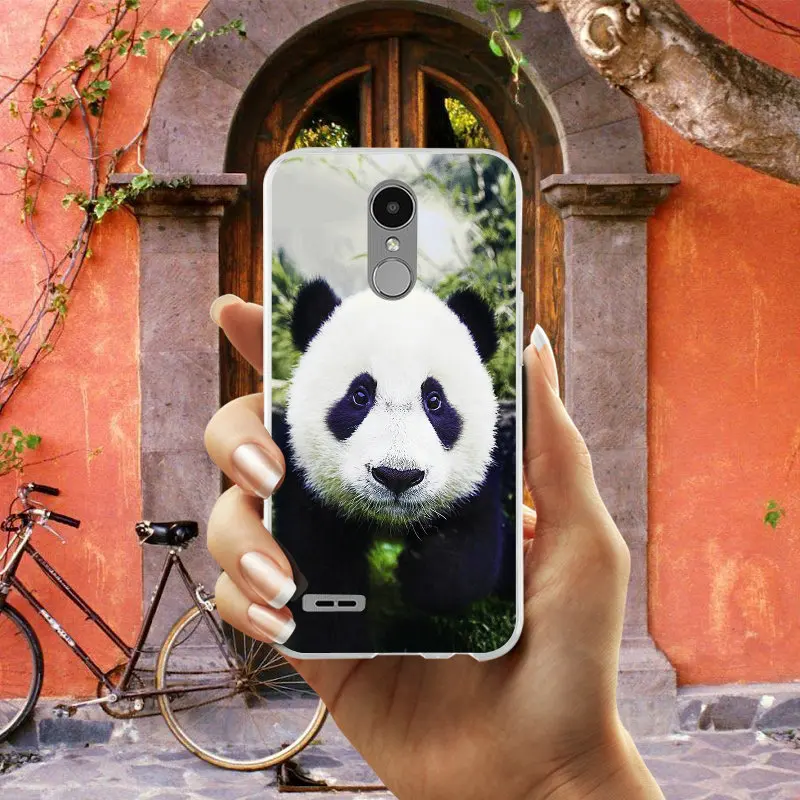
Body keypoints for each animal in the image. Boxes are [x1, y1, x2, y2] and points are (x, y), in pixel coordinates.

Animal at [272, 277, 512, 653]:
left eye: (434, 400)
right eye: (359, 395)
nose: (398, 476)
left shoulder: (478, 481)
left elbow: (470, 554)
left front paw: (418, 574)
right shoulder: (308, 488)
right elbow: (322, 575)